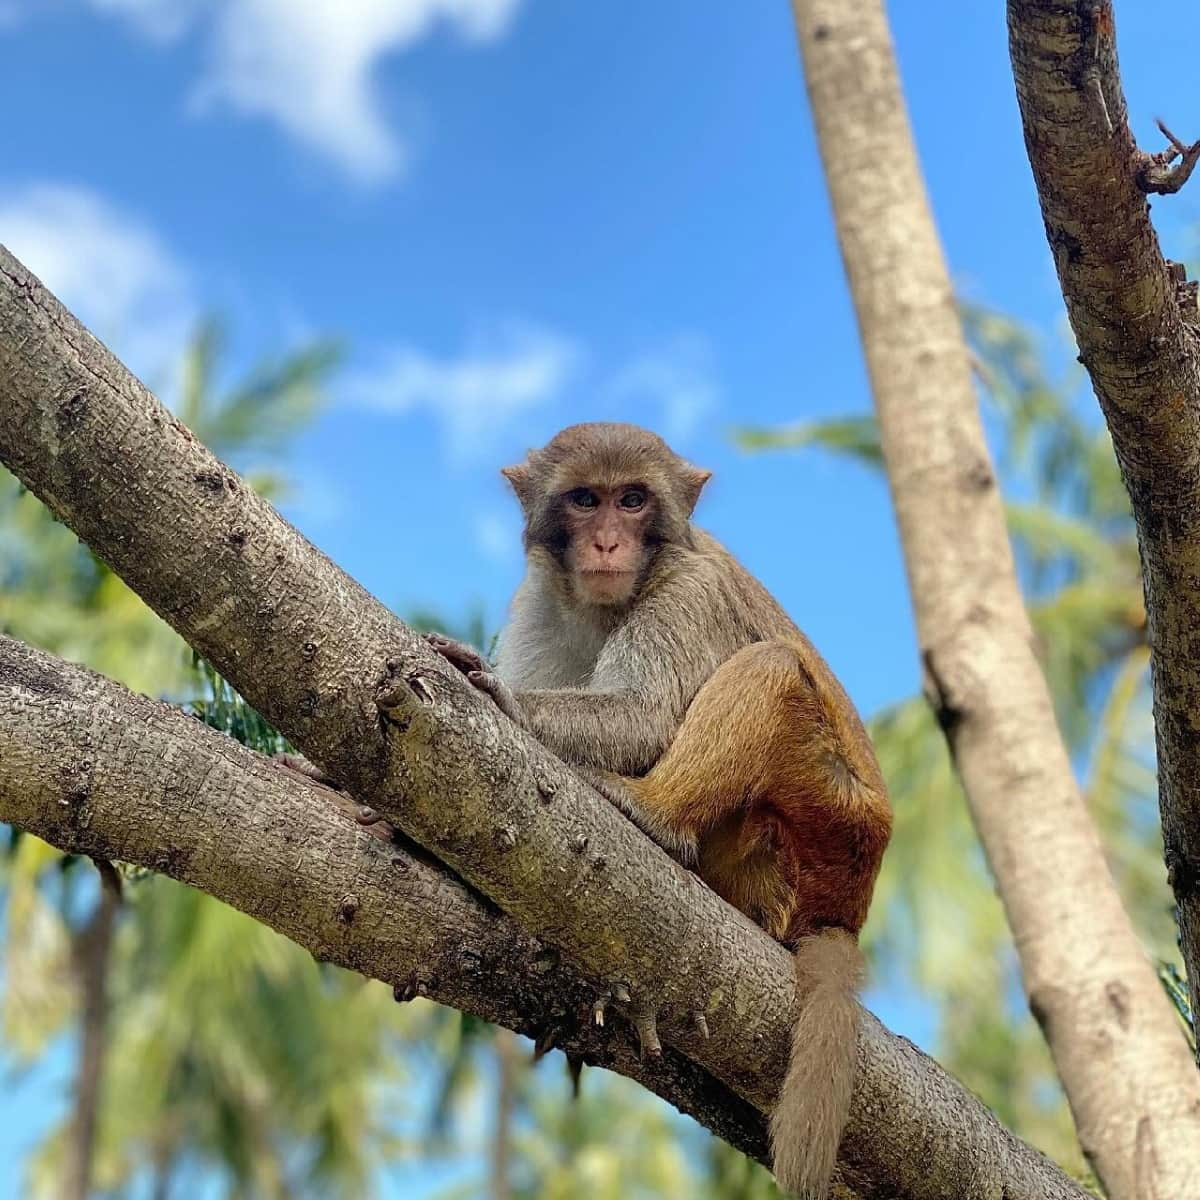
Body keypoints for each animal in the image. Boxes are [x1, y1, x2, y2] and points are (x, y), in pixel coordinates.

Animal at [429, 422, 892, 1200]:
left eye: (633, 500)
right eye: (586, 500)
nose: (608, 542)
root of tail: (847, 908)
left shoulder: (687, 592)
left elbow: (646, 720)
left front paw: (505, 699)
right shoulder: (540, 603)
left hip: (814, 831)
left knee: (770, 668)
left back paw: (650, 812)